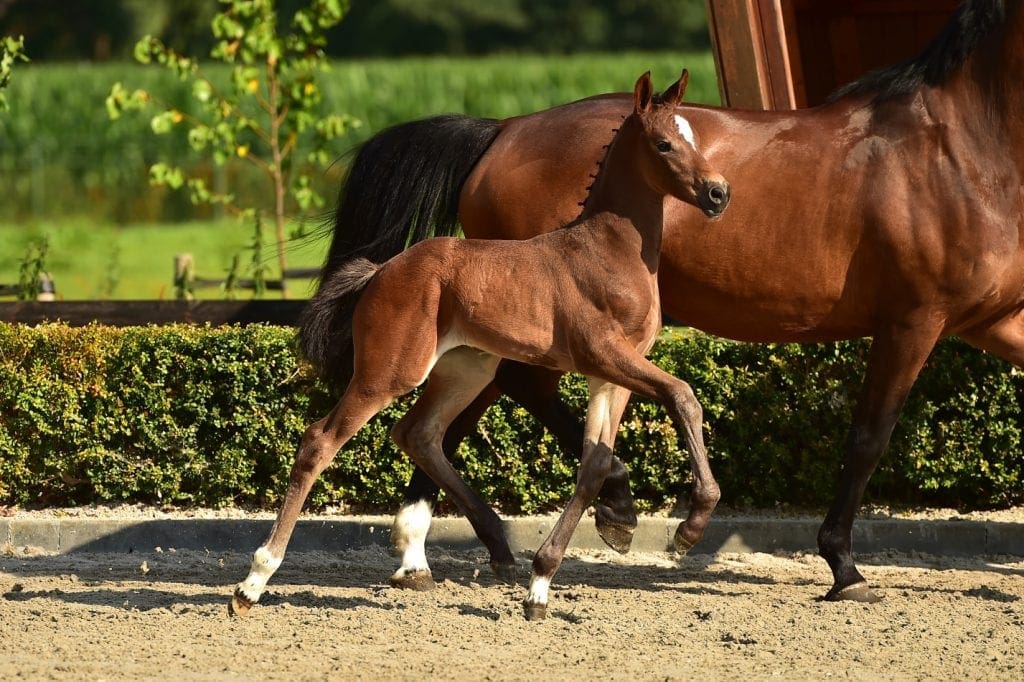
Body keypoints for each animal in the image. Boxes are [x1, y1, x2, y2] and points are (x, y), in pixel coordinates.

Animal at [232, 71, 731, 620]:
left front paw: (541, 585)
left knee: (418, 433)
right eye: (664, 143)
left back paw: (488, 553)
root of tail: (381, 270)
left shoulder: (613, 372)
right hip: (390, 372)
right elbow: (683, 395)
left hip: (467, 369)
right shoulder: (603, 354)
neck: (607, 250)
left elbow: (595, 463)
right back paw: (253, 582)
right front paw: (690, 527)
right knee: (320, 440)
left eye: (695, 137)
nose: (718, 193)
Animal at [304, 0, 1024, 604]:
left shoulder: (991, 321)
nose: (717, 193)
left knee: (450, 419)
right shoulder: (914, 320)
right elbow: (870, 437)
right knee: (498, 401)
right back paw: (585, 515)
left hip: (486, 331)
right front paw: (843, 568)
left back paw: (445, 550)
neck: (960, 148)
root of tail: (503, 129)